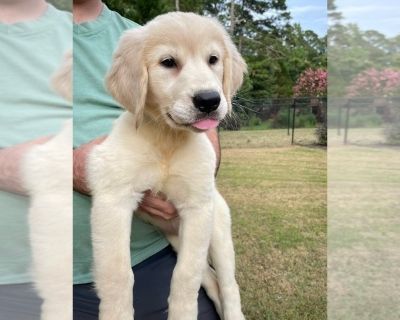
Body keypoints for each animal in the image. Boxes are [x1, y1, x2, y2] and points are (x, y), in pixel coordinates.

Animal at [88, 12, 247, 320]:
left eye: (213, 59)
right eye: (168, 62)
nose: (210, 100)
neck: (167, 139)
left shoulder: (198, 208)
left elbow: (185, 276)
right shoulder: (113, 199)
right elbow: (117, 275)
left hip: (217, 227)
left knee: (228, 284)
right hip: (179, 236)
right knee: (212, 281)